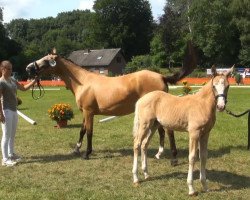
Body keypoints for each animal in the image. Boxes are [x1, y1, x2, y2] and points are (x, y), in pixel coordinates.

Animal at [25, 41, 197, 161]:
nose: (28, 68)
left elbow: (89, 132)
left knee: (167, 131)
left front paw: (87, 153)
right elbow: (82, 130)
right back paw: (159, 154)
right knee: (162, 131)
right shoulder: (85, 112)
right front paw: (76, 149)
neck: (83, 81)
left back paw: (170, 156)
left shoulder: (89, 112)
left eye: (46, 60)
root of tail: (161, 76)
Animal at [132, 65, 233, 195]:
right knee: (137, 144)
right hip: (144, 125)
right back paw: (136, 178)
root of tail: (141, 99)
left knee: (144, 144)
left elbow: (203, 156)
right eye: (214, 86)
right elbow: (192, 157)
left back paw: (146, 174)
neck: (202, 104)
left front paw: (205, 186)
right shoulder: (194, 133)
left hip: (153, 125)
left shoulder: (205, 134)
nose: (221, 106)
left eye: (227, 86)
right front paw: (191, 188)